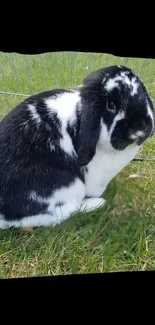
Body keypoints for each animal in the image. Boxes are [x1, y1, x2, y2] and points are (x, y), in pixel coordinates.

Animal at [0, 64, 154, 228]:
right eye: (110, 105)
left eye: (144, 93)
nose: (140, 128)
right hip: (72, 186)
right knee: (64, 213)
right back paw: (97, 203)